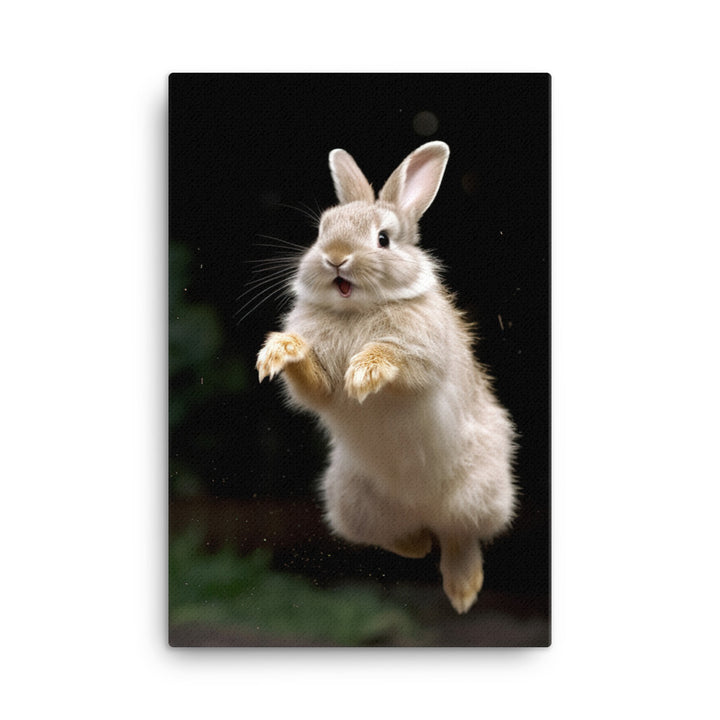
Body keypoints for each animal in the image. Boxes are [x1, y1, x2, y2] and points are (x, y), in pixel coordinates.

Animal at [256, 141, 517, 614]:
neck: (357, 310)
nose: (335, 257)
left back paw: (463, 591)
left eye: (383, 239)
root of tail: (421, 509)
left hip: (480, 495)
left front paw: (366, 371)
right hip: (348, 503)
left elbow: (399, 359)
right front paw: (281, 350)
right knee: (402, 539)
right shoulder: (320, 388)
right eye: (321, 231)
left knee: (460, 536)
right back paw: (418, 545)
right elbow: (315, 386)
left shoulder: (424, 357)